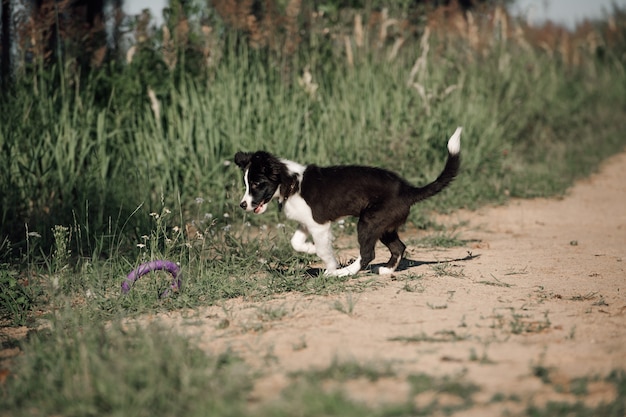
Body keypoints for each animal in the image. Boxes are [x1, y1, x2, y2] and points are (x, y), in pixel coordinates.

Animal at [233, 127, 458, 276]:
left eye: (256, 183)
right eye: (246, 184)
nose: (243, 205)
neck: (290, 182)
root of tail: (408, 190)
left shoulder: (319, 225)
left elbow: (323, 249)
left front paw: (330, 267)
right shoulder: (306, 223)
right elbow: (295, 243)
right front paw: (311, 249)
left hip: (368, 222)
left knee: (368, 254)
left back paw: (345, 273)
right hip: (383, 226)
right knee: (399, 247)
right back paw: (386, 270)